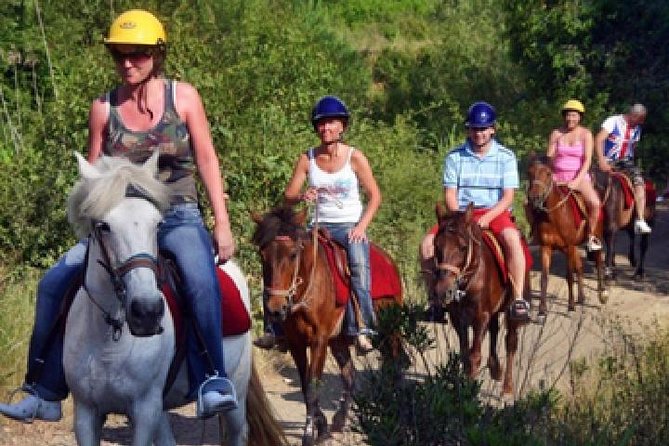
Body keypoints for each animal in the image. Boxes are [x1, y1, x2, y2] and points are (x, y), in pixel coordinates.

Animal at [60, 152, 284, 444]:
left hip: (236, 388)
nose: (147, 311)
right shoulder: (86, 413)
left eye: (157, 224)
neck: (110, 336)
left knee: (238, 430)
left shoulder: (144, 410)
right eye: (103, 226)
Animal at [253, 206, 402, 446]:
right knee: (350, 375)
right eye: (262, 254)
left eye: (293, 254)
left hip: (391, 331)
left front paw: (308, 435)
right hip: (339, 341)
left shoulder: (319, 341)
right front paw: (321, 427)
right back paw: (339, 421)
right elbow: (306, 386)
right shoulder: (296, 343)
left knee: (394, 363)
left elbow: (314, 386)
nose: (276, 308)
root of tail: (389, 261)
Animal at [430, 204, 524, 396]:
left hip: (511, 312)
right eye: (436, 245)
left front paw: (470, 393)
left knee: (511, 342)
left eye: (463, 247)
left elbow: (474, 356)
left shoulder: (481, 316)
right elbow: (465, 354)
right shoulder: (458, 318)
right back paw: (495, 368)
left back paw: (507, 388)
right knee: (495, 330)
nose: (443, 291)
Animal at [524, 155, 608, 318]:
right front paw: (542, 310)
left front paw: (570, 306)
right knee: (580, 267)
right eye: (529, 172)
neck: (554, 215)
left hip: (594, 239)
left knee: (598, 262)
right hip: (570, 247)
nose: (534, 198)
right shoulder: (547, 247)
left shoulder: (569, 246)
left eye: (548, 173)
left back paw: (602, 294)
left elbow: (569, 276)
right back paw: (581, 297)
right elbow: (544, 278)